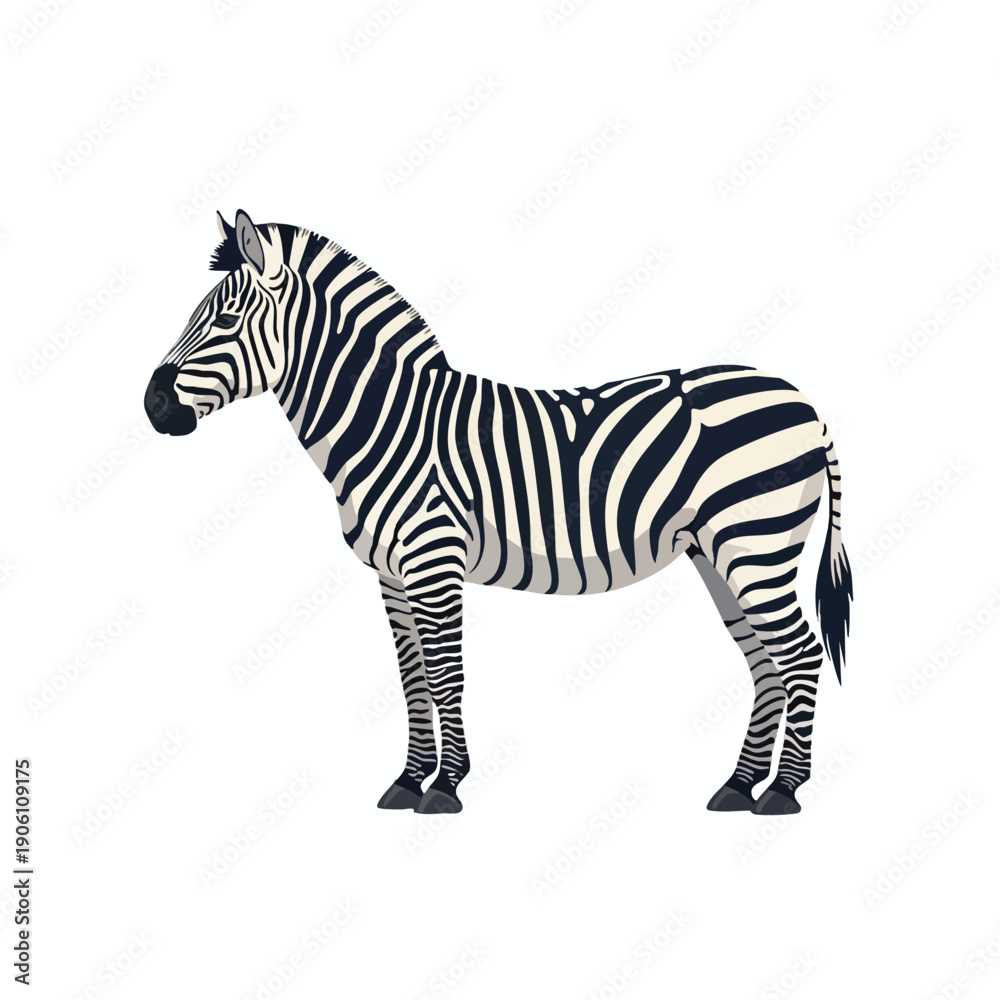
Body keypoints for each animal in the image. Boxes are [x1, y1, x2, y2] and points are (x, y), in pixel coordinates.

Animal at [145, 209, 853, 817]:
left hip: (756, 543)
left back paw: (782, 792)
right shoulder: (391, 574)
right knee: (765, 664)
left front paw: (445, 787)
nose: (153, 406)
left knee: (799, 654)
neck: (388, 424)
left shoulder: (434, 560)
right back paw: (738, 786)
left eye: (225, 321)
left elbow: (445, 674)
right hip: (718, 553)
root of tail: (805, 402)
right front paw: (409, 780)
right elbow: (411, 678)